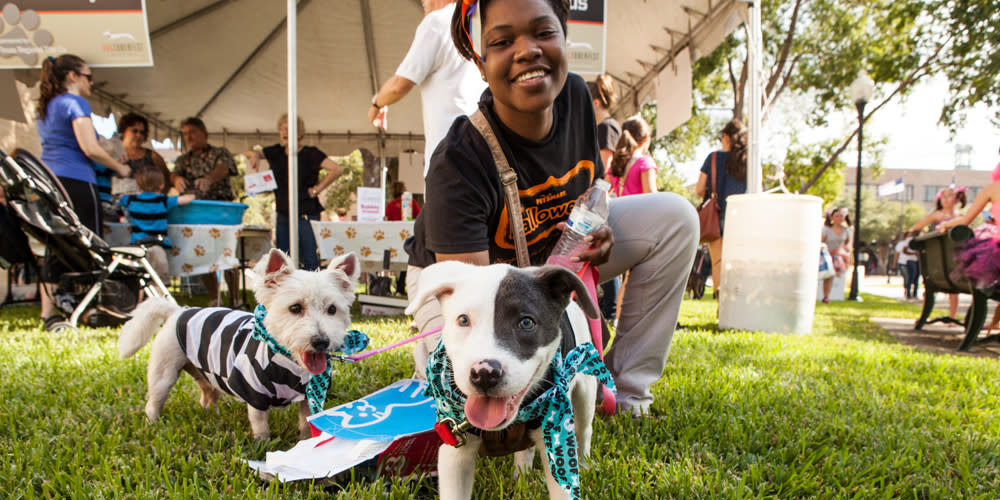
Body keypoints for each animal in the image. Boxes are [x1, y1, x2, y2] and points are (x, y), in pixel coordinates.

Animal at [120, 249, 364, 438]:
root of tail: (177, 311)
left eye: (332, 309)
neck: (289, 364)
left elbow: (305, 424)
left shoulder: (306, 397)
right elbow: (261, 427)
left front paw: (304, 443)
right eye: (295, 308)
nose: (321, 341)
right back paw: (153, 425)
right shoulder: (254, 395)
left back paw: (212, 415)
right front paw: (262, 446)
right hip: (164, 374)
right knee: (153, 403)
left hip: (203, 373)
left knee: (207, 396)